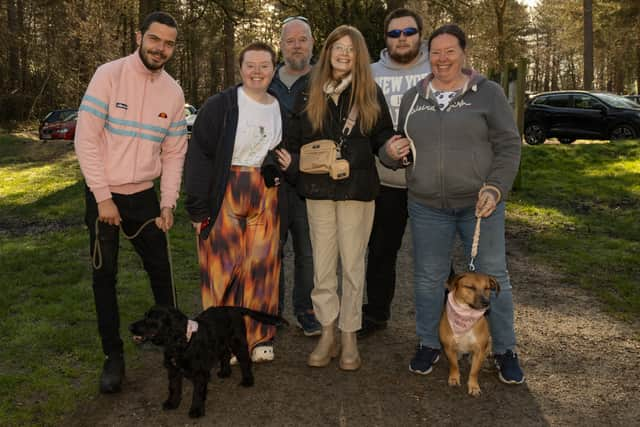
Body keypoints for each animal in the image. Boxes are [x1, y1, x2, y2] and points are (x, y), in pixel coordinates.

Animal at [129, 306, 286, 420]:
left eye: (151, 319)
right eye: (145, 315)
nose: (130, 327)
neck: (181, 343)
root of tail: (233, 307)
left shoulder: (200, 373)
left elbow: (197, 393)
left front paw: (196, 411)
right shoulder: (173, 371)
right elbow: (173, 388)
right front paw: (172, 403)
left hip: (237, 342)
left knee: (245, 360)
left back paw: (247, 380)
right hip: (221, 343)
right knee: (225, 354)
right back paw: (225, 372)